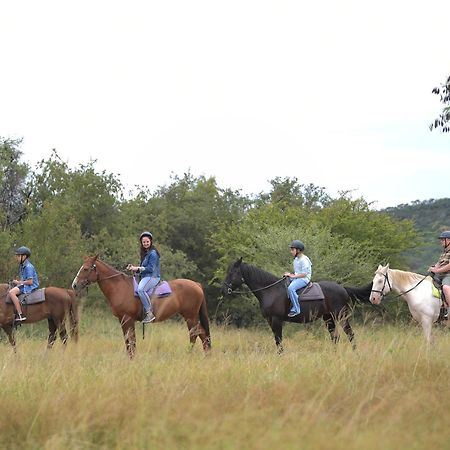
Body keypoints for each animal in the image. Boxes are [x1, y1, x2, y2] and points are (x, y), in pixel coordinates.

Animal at [71, 256, 212, 358]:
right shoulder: (123, 320)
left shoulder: (128, 319)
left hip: (190, 317)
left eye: (85, 269)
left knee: (196, 334)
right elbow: (128, 341)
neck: (120, 287)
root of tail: (196, 284)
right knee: (201, 335)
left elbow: (131, 341)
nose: (74, 285)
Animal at [221, 258, 356, 354]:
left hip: (341, 316)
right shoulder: (270, 320)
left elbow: (279, 340)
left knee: (350, 334)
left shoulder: (276, 319)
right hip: (328, 317)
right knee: (335, 337)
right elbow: (277, 340)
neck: (271, 291)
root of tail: (343, 288)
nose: (224, 290)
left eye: (232, 273)